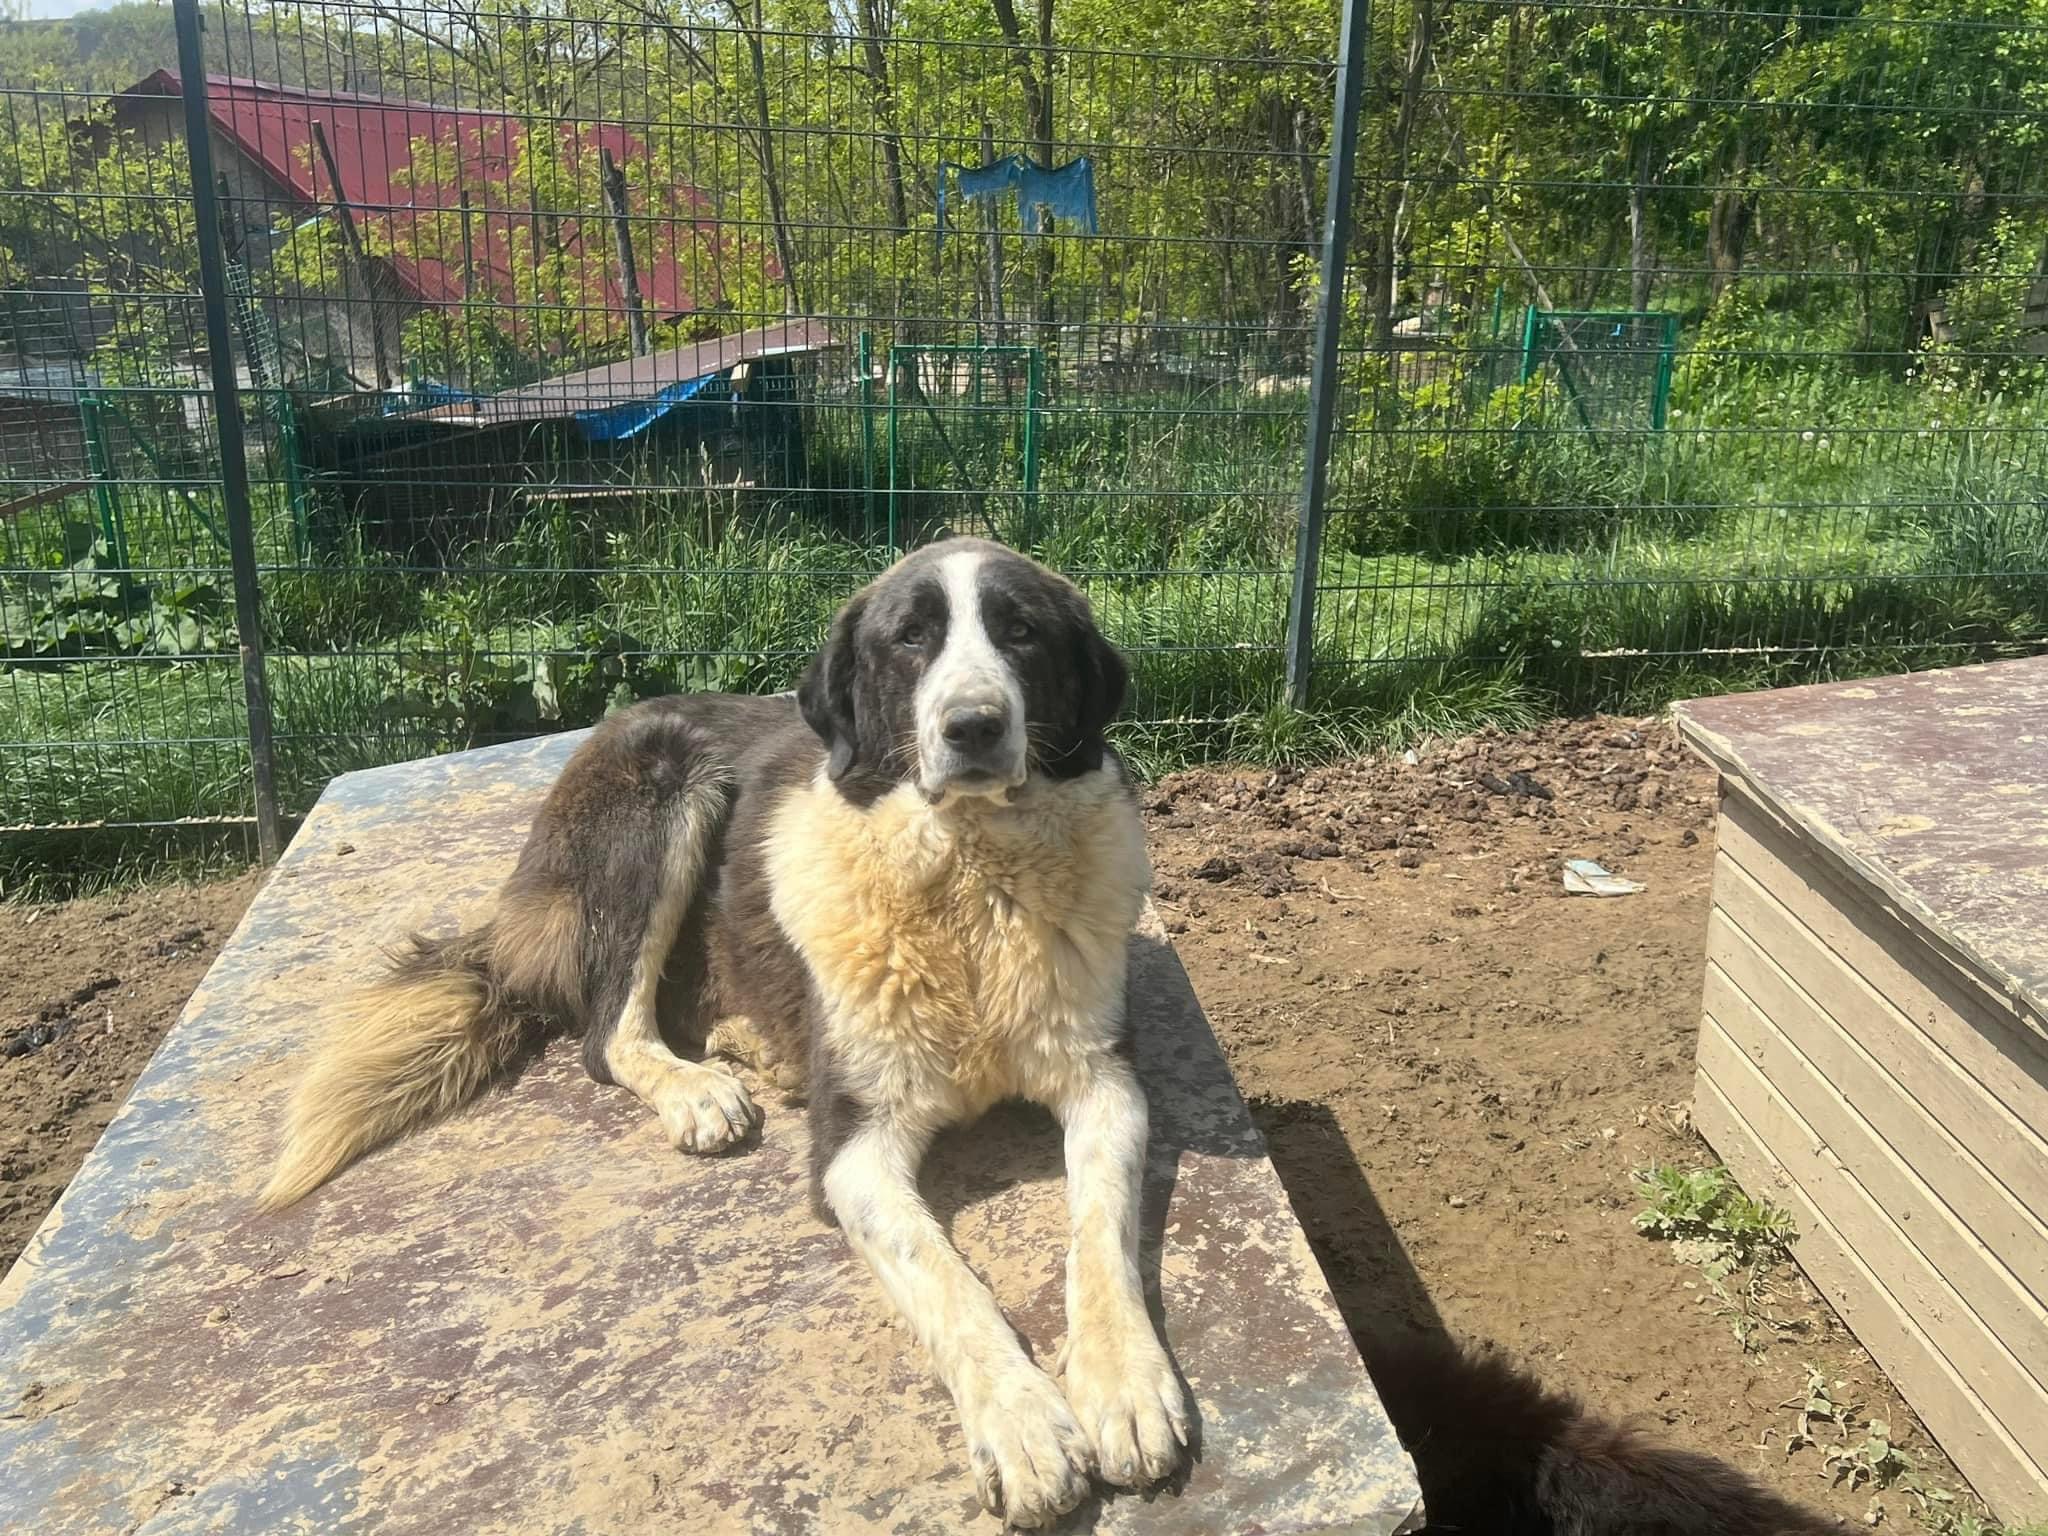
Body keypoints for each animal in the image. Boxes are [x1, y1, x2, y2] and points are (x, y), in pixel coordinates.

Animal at [261, 537, 1185, 1528]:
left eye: (1021, 634)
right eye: (910, 640)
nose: (973, 726)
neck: (970, 885)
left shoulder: (1104, 1083)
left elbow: (1101, 1233)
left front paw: (1125, 1386)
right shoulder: (853, 1149)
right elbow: (945, 1277)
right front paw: (1021, 1422)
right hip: (666, 796)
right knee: (605, 1036)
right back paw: (697, 1088)